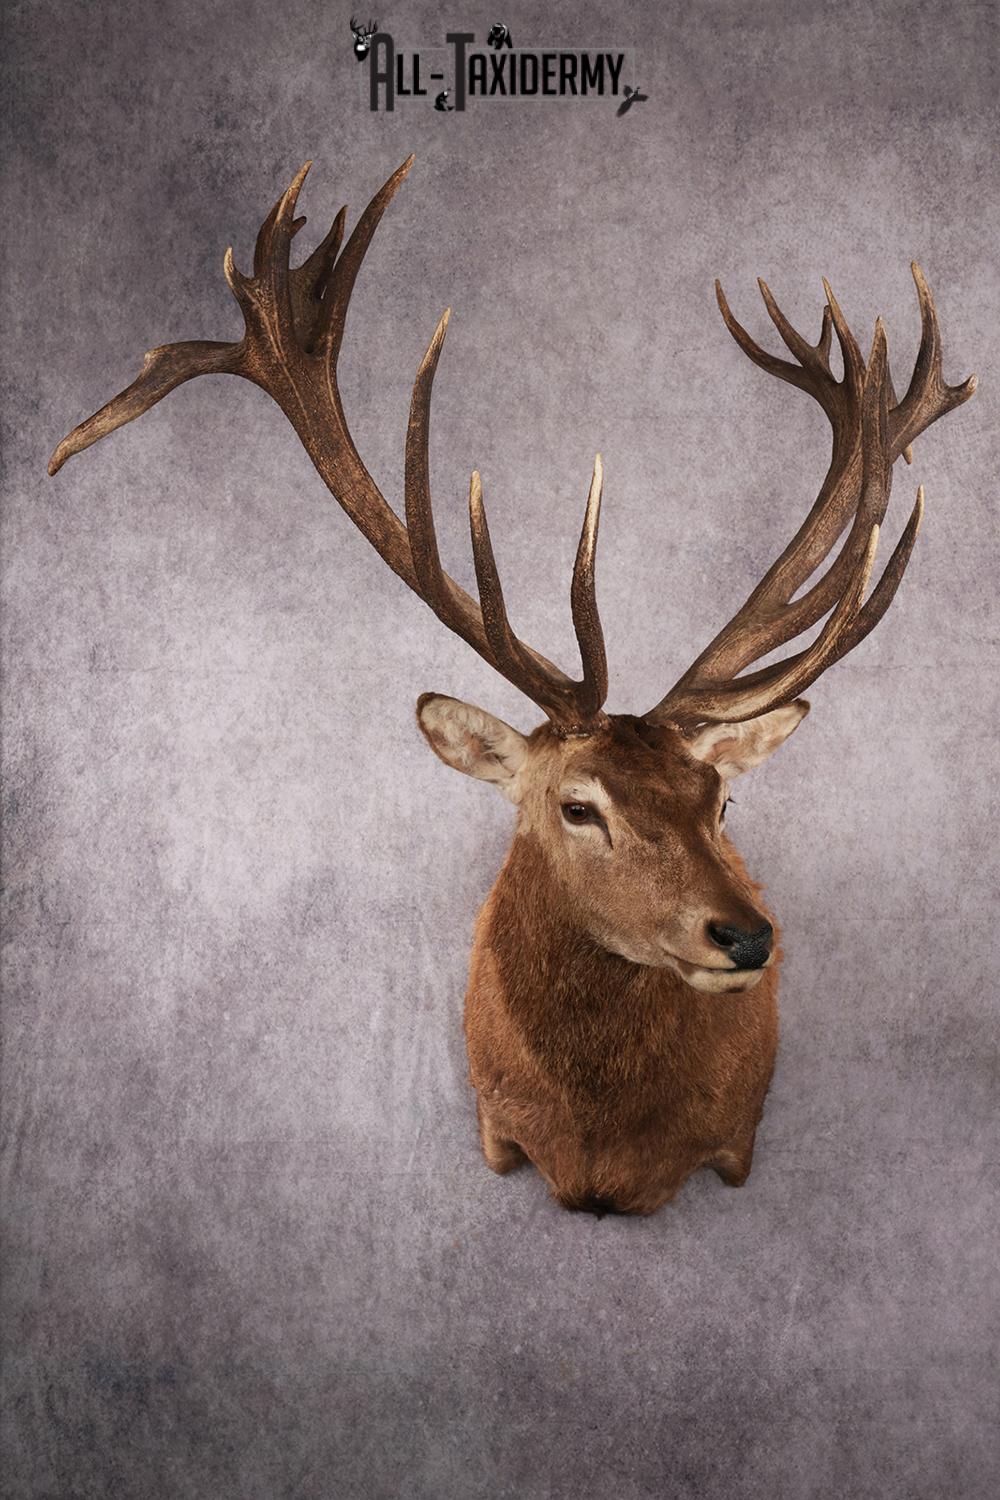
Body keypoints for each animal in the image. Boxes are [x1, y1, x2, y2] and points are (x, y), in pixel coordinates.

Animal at [49, 158, 976, 1216]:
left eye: (723, 801)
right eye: (578, 806)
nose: (747, 937)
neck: (601, 1160)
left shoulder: (736, 1141)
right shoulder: (497, 1128)